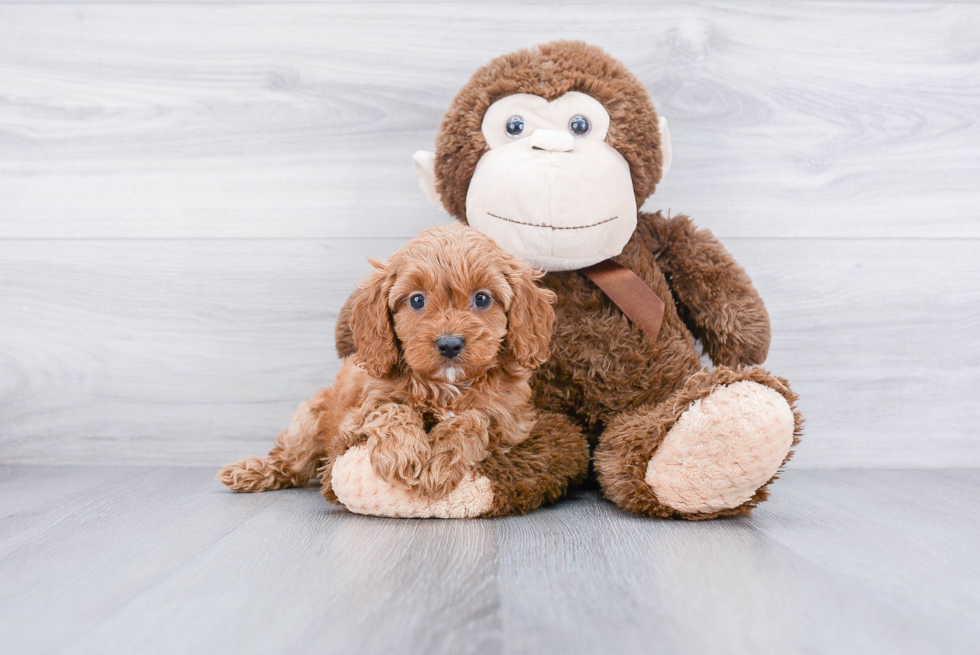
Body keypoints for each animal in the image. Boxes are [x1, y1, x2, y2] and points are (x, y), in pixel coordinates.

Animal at [220, 226, 588, 516]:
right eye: (416, 300)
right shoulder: (355, 418)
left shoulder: (511, 423)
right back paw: (251, 471)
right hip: (310, 420)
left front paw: (441, 461)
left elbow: (474, 419)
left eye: (483, 299)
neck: (447, 386)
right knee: (291, 459)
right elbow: (391, 408)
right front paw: (404, 455)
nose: (449, 344)